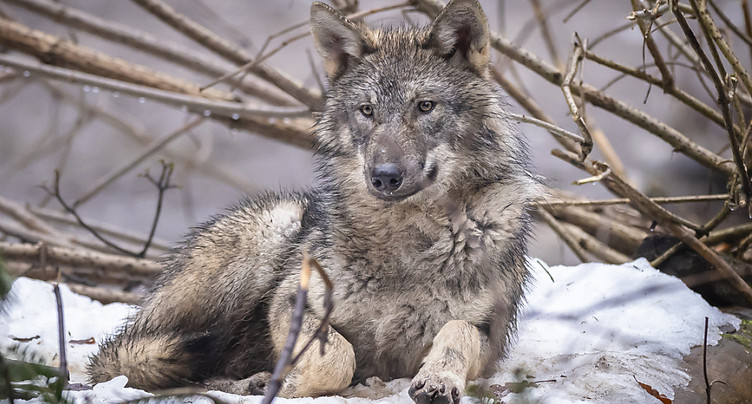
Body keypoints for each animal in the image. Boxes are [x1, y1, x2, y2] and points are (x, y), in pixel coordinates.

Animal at [88, 1, 536, 402]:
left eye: (425, 106)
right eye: (367, 110)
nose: (384, 176)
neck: (406, 239)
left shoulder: (488, 336)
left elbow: (457, 331)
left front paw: (439, 380)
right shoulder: (290, 302)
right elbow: (338, 357)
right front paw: (289, 384)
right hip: (272, 229)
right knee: (145, 364)